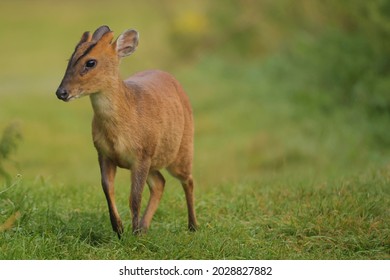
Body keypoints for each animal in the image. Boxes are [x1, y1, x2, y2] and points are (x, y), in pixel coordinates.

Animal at [55, 25, 198, 237]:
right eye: (70, 59)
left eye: (91, 62)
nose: (61, 92)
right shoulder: (103, 153)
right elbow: (108, 189)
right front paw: (120, 229)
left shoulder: (142, 154)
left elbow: (134, 197)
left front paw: (132, 233)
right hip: (155, 161)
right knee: (160, 183)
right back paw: (145, 227)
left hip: (182, 149)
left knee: (188, 180)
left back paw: (193, 226)